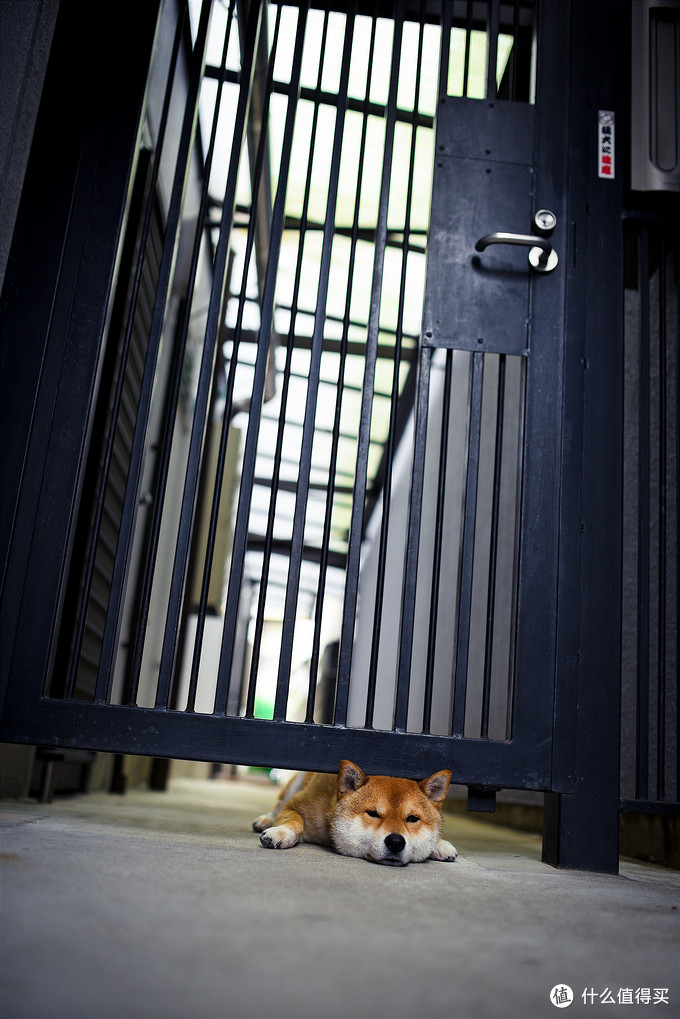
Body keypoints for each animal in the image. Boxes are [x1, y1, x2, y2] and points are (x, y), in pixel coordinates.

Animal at [251, 762, 456, 864]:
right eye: (372, 813)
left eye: (412, 818)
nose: (396, 842)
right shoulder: (296, 805)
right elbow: (294, 820)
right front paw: (281, 832)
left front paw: (439, 843)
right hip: (296, 783)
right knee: (278, 804)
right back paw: (265, 820)